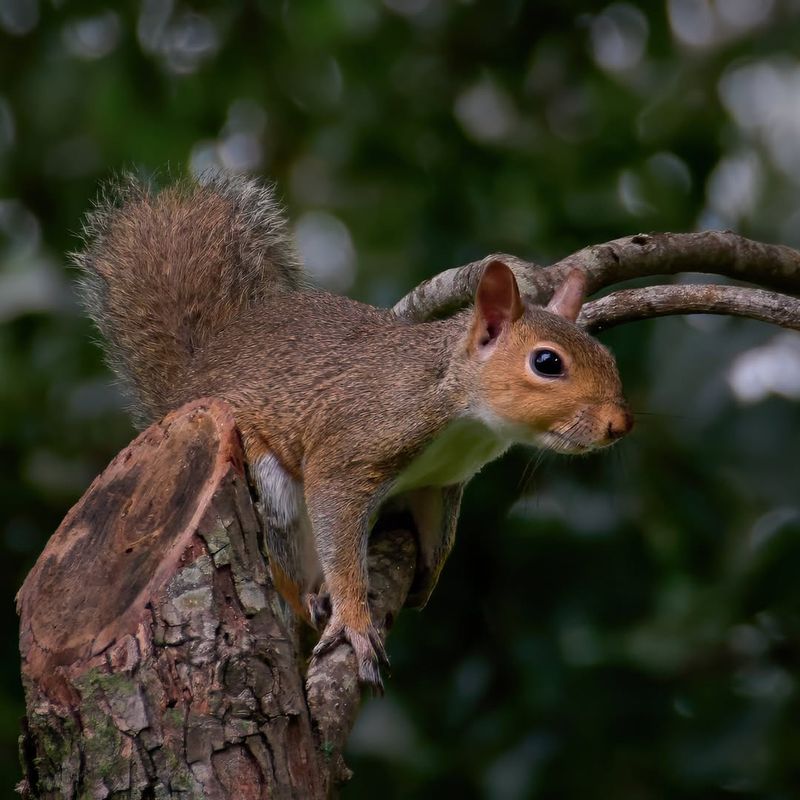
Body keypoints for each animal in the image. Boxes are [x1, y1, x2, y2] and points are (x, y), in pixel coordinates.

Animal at [76, 173, 632, 688]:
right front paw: (353, 620)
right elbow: (339, 536)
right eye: (547, 363)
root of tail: (189, 384)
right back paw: (308, 596)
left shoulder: (442, 481)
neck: (463, 417)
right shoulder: (350, 451)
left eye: (608, 356)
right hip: (263, 472)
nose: (620, 424)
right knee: (282, 553)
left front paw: (428, 575)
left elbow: (439, 531)